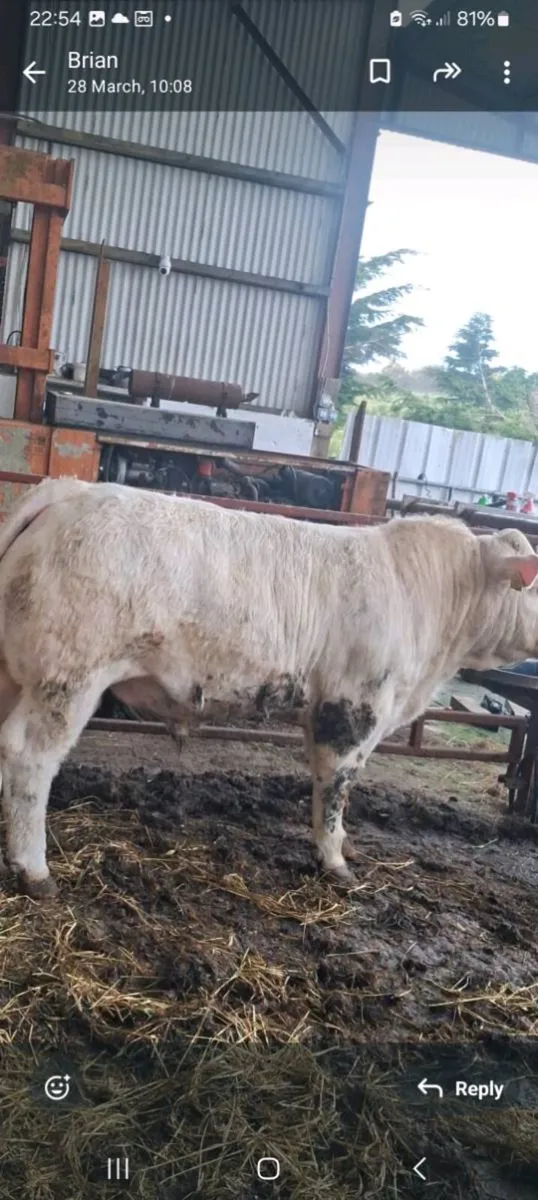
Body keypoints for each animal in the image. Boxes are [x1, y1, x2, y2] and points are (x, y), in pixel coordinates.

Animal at [0, 476, 537, 901]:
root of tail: (73, 490)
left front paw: (346, 845)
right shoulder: (352, 707)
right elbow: (336, 785)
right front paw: (335, 861)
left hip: (17, 673)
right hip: (68, 678)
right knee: (30, 757)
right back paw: (34, 871)